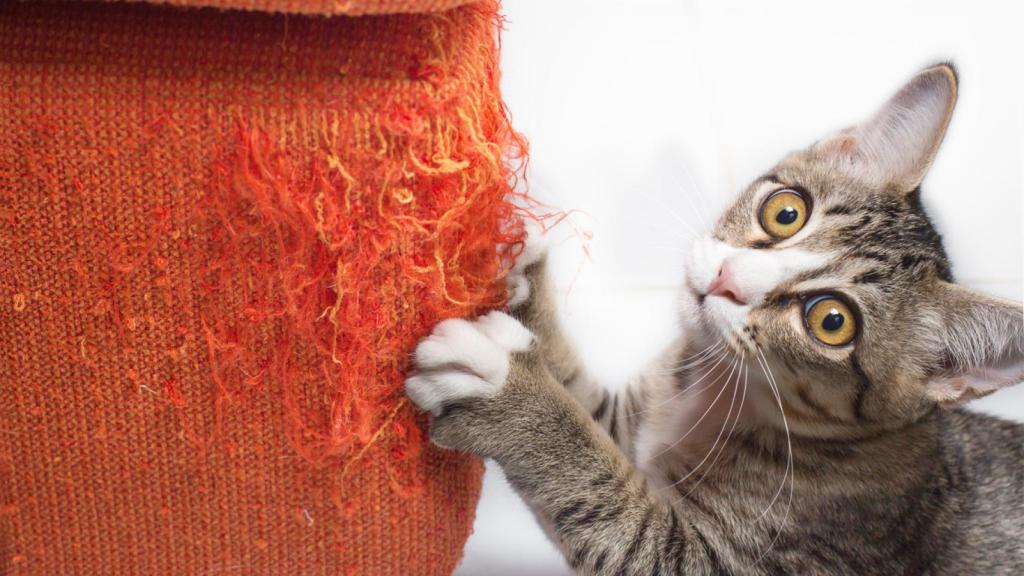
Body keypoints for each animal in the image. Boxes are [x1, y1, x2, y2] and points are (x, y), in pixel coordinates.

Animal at [403, 63, 1024, 573]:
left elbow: (608, 503)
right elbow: (590, 406)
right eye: (785, 211)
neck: (718, 390)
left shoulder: (730, 557)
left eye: (831, 321)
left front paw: (509, 391)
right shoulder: (634, 419)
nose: (728, 278)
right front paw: (518, 265)